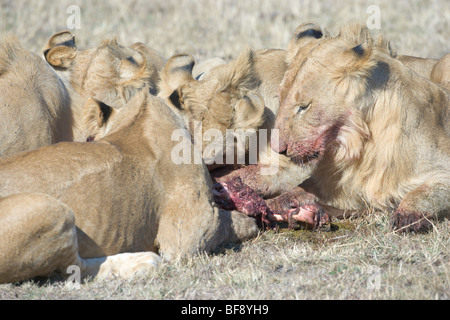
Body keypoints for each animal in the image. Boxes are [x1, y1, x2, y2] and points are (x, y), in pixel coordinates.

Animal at [0, 87, 256, 282]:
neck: (140, 117)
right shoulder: (185, 235)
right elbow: (230, 223)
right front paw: (251, 223)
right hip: (50, 209)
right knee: (73, 269)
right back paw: (142, 261)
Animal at [272, 22, 448, 232]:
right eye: (280, 98)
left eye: (304, 106)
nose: (279, 149)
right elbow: (299, 190)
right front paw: (275, 205)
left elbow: (423, 193)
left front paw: (406, 217)